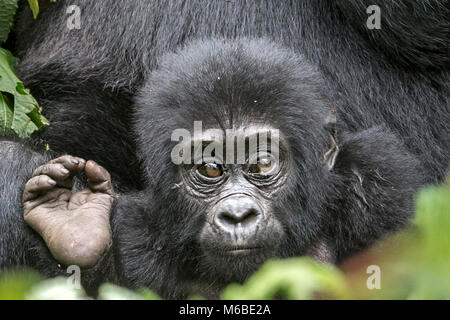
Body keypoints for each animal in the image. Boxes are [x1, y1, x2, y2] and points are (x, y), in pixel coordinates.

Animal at [0, 0, 448, 300]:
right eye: (211, 169)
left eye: (262, 164)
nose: (236, 214)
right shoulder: (141, 231)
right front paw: (76, 228)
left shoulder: (381, 184)